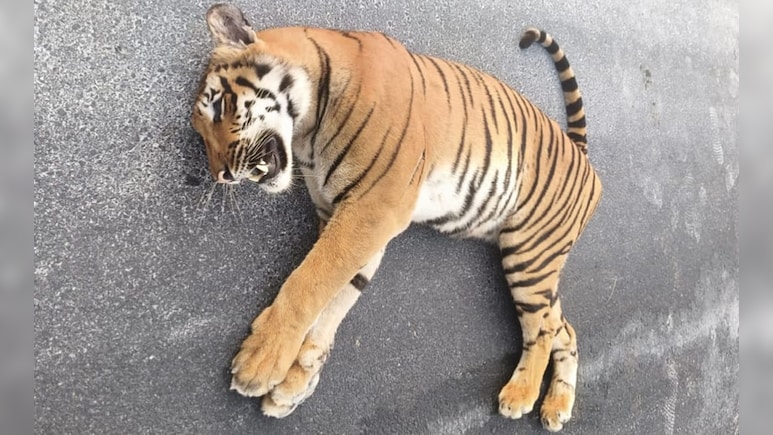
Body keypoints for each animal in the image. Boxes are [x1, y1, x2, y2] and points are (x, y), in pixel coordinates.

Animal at [191, 3, 602, 432]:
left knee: (544, 329)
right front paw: (293, 386)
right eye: (200, 132)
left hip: (529, 253)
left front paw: (260, 362)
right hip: (536, 265)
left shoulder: (372, 210)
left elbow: (309, 283)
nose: (221, 175)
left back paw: (519, 395)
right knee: (564, 329)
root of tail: (580, 152)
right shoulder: (347, 219)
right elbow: (332, 303)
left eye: (219, 107)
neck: (306, 134)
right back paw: (556, 407)